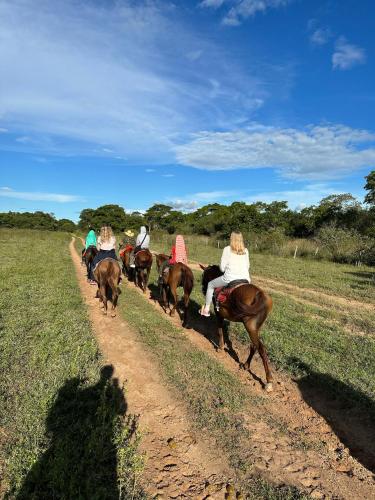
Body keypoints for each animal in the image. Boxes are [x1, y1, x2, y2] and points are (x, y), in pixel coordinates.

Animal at [201, 264, 274, 392]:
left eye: (204, 275)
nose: (203, 289)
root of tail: (261, 295)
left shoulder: (218, 313)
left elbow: (220, 330)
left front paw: (220, 347)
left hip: (250, 327)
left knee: (261, 348)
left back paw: (268, 381)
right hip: (255, 328)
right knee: (254, 345)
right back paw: (246, 365)